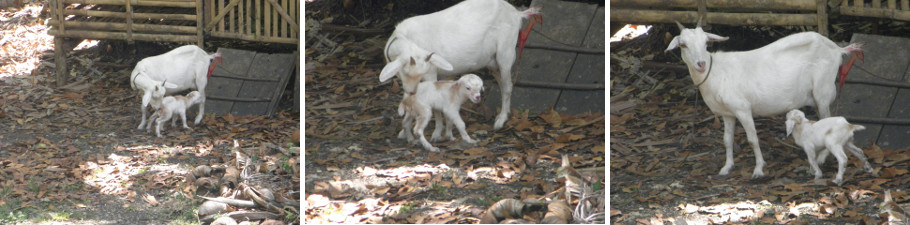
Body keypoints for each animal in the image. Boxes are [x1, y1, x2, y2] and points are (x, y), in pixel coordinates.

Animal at [380, 0, 540, 141]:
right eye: (405, 72)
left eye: (423, 72)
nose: (412, 90)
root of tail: (516, 13)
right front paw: (404, 131)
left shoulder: (431, 73)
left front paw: (437, 134)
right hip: (492, 61)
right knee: (502, 83)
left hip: (505, 52)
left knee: (508, 86)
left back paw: (500, 121)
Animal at [668, 21, 864, 179]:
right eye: (683, 45)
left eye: (706, 43)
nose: (701, 64)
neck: (716, 72)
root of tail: (837, 49)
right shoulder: (728, 113)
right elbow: (727, 139)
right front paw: (726, 167)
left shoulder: (743, 109)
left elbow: (752, 139)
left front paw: (758, 170)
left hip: (822, 91)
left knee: (826, 119)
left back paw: (822, 158)